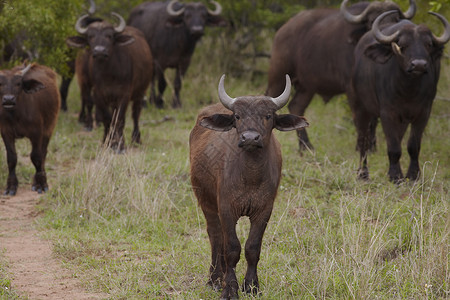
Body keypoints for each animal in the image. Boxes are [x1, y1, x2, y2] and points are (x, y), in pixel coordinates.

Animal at [0, 62, 60, 197]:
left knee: (43, 153)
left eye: (18, 83)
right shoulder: (6, 133)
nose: (8, 99)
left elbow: (36, 157)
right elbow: (11, 158)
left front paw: (41, 185)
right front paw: (11, 186)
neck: (16, 115)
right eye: (0, 83)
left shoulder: (37, 133)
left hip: (49, 128)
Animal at [65, 12, 153, 152]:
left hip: (141, 92)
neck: (108, 74)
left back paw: (136, 139)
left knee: (136, 114)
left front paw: (120, 145)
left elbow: (119, 120)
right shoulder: (98, 94)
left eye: (109, 36)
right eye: (90, 36)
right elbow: (108, 119)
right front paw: (107, 142)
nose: (99, 51)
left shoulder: (124, 95)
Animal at [190, 74, 310, 298]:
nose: (250, 138)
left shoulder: (264, 210)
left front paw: (252, 286)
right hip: (205, 201)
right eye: (237, 116)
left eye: (268, 115)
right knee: (215, 236)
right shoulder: (226, 209)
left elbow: (252, 248)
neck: (251, 177)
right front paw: (230, 289)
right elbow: (232, 248)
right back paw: (214, 279)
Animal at [266, 0, 416, 150]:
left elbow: (373, 118)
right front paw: (362, 147)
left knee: (297, 106)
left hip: (307, 87)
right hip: (278, 78)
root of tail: (282, 31)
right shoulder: (351, 89)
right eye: (372, 21)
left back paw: (306, 146)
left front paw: (372, 147)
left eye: (395, 20)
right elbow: (361, 118)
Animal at [350, 10, 448, 182]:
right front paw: (395, 176)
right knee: (363, 141)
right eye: (402, 45)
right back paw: (363, 173)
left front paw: (413, 175)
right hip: (360, 107)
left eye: (428, 44)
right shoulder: (387, 113)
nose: (419, 65)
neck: (408, 90)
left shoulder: (423, 113)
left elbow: (413, 146)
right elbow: (394, 147)